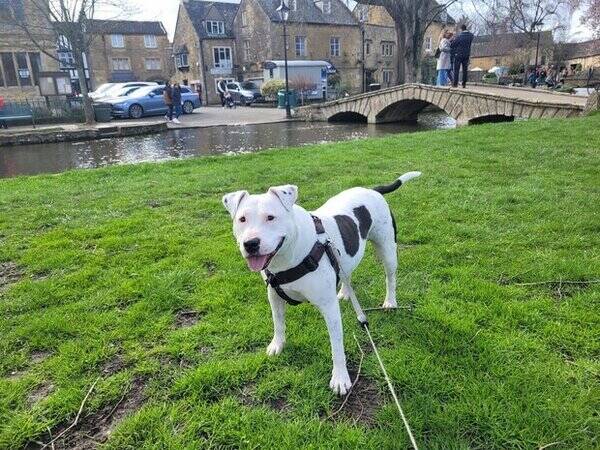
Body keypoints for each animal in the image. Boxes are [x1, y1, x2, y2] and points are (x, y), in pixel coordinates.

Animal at [221, 171, 422, 394]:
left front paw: (340, 378)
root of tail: (373, 190)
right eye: (242, 219)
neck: (288, 255)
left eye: (271, 217)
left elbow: (337, 345)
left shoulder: (329, 308)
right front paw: (277, 345)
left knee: (390, 277)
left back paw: (390, 302)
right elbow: (278, 323)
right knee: (346, 271)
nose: (250, 244)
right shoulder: (274, 296)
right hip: (344, 255)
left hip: (387, 249)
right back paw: (345, 292)